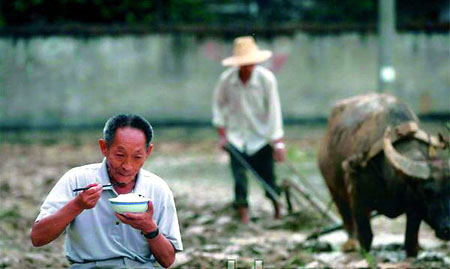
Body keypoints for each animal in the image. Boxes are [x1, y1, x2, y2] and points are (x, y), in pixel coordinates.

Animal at [318, 93, 448, 256]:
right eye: (428, 191)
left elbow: (410, 241)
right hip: (334, 189)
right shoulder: (358, 199)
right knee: (346, 217)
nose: (447, 228)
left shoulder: (414, 207)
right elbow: (366, 236)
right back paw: (350, 244)